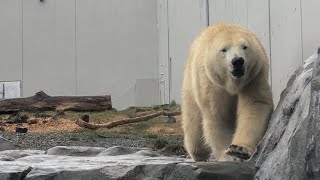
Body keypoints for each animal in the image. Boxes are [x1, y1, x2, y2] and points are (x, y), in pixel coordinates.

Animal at [181, 22, 274, 162]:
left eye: (244, 46)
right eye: (224, 49)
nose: (237, 61)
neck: (233, 83)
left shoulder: (254, 77)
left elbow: (254, 105)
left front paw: (239, 150)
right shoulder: (212, 82)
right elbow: (219, 114)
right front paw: (227, 156)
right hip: (191, 83)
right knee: (193, 122)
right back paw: (198, 153)